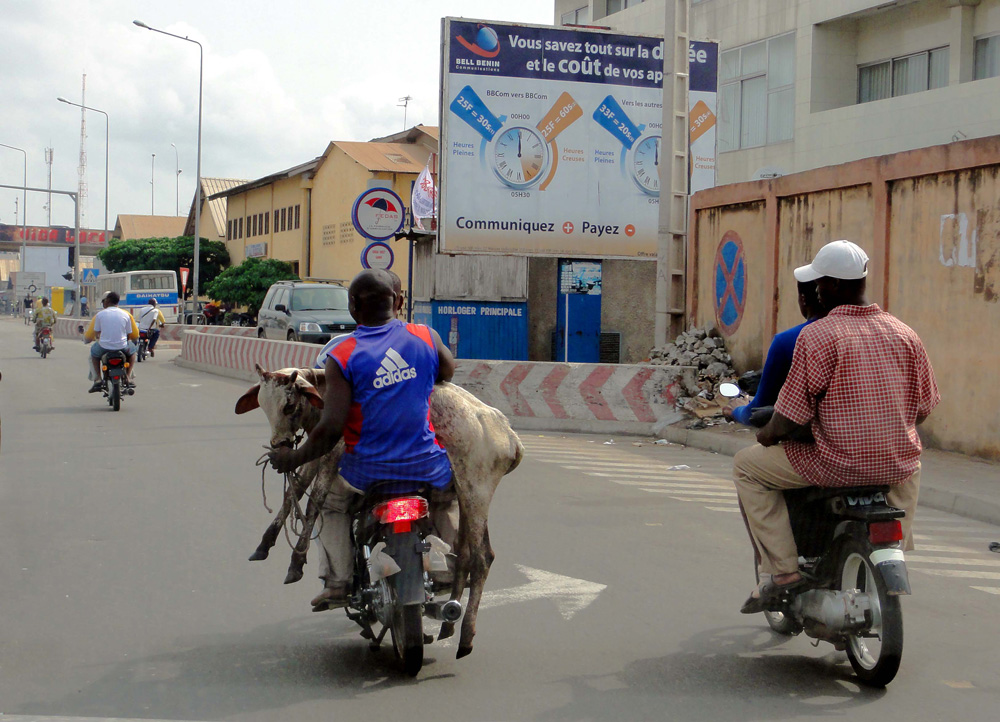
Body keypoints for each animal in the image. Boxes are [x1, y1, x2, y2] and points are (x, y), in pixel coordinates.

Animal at [236, 362, 524, 656]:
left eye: (289, 405)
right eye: (263, 404)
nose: (278, 445)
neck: (323, 393)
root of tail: (510, 437)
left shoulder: (333, 448)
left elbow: (314, 500)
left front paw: (296, 562)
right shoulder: (316, 452)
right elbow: (293, 490)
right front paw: (264, 545)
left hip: (476, 488)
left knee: (482, 558)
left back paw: (465, 635)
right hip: (465, 492)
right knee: (465, 555)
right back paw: (448, 623)